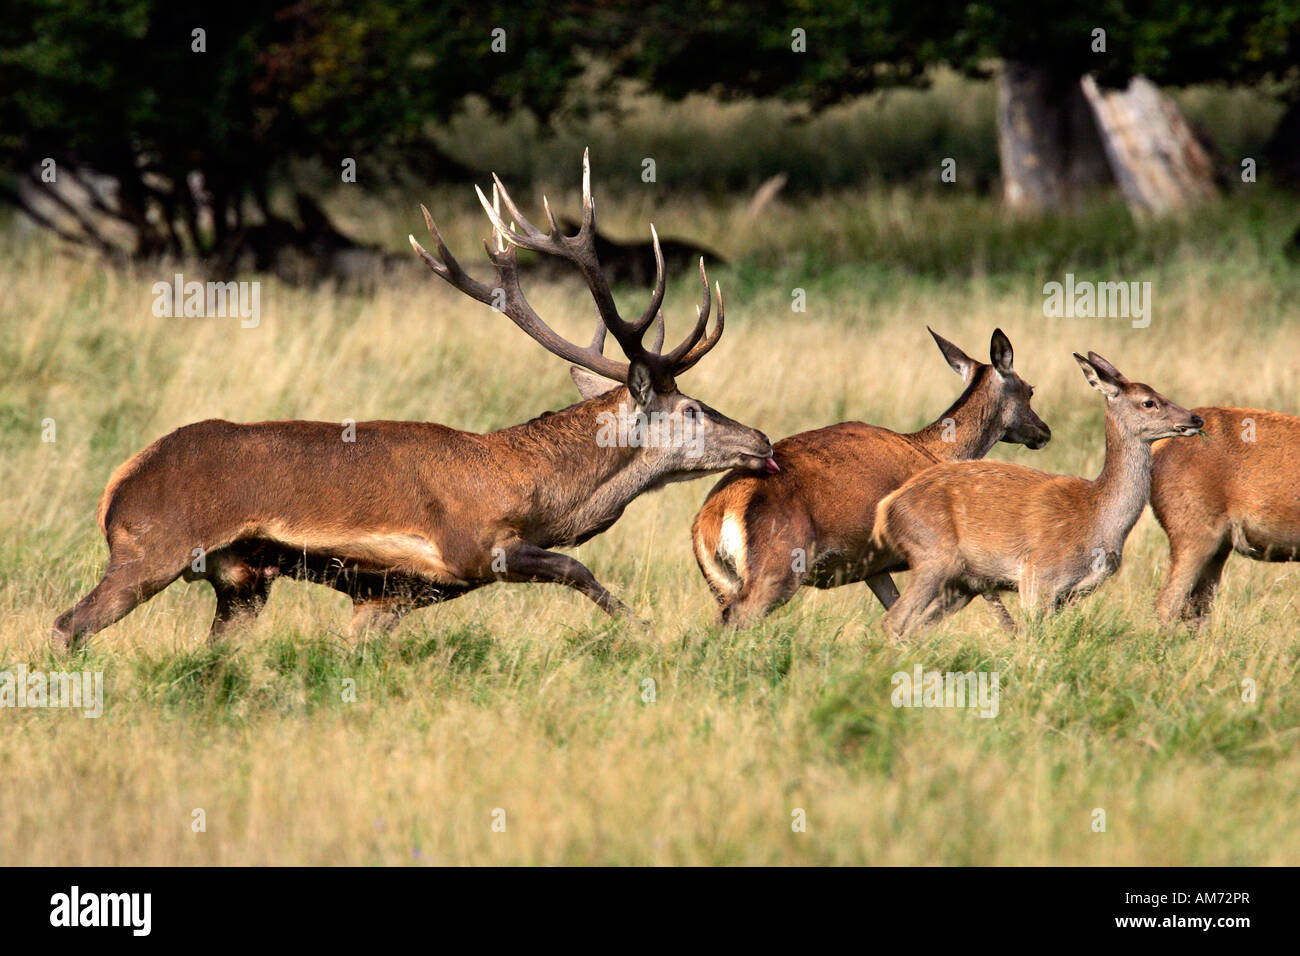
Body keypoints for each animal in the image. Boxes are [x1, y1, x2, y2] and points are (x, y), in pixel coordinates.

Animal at [52, 152, 777, 651]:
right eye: (692, 409)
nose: (763, 442)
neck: (537, 491)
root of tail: (116, 489)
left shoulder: (388, 596)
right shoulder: (471, 547)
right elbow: (581, 571)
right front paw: (650, 631)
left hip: (242, 583)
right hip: (153, 549)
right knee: (68, 625)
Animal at [691, 328, 1051, 627]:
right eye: (1030, 390)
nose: (1043, 431)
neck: (937, 450)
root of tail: (714, 515)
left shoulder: (873, 567)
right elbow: (998, 611)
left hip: (721, 581)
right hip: (777, 570)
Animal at [873, 352, 1204, 639]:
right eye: (1149, 402)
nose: (1195, 418)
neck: (1098, 516)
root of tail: (887, 508)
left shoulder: (1067, 595)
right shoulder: (1038, 576)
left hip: (962, 582)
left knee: (914, 628)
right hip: (933, 556)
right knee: (893, 621)